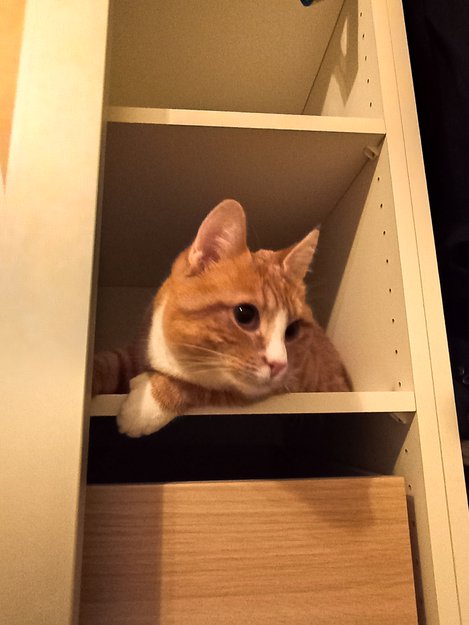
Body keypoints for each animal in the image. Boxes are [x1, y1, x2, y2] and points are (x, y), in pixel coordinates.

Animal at [92, 199, 351, 437]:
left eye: (293, 330)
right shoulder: (136, 351)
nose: (279, 364)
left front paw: (148, 404)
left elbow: (203, 388)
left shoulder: (271, 388)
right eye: (245, 314)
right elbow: (108, 363)